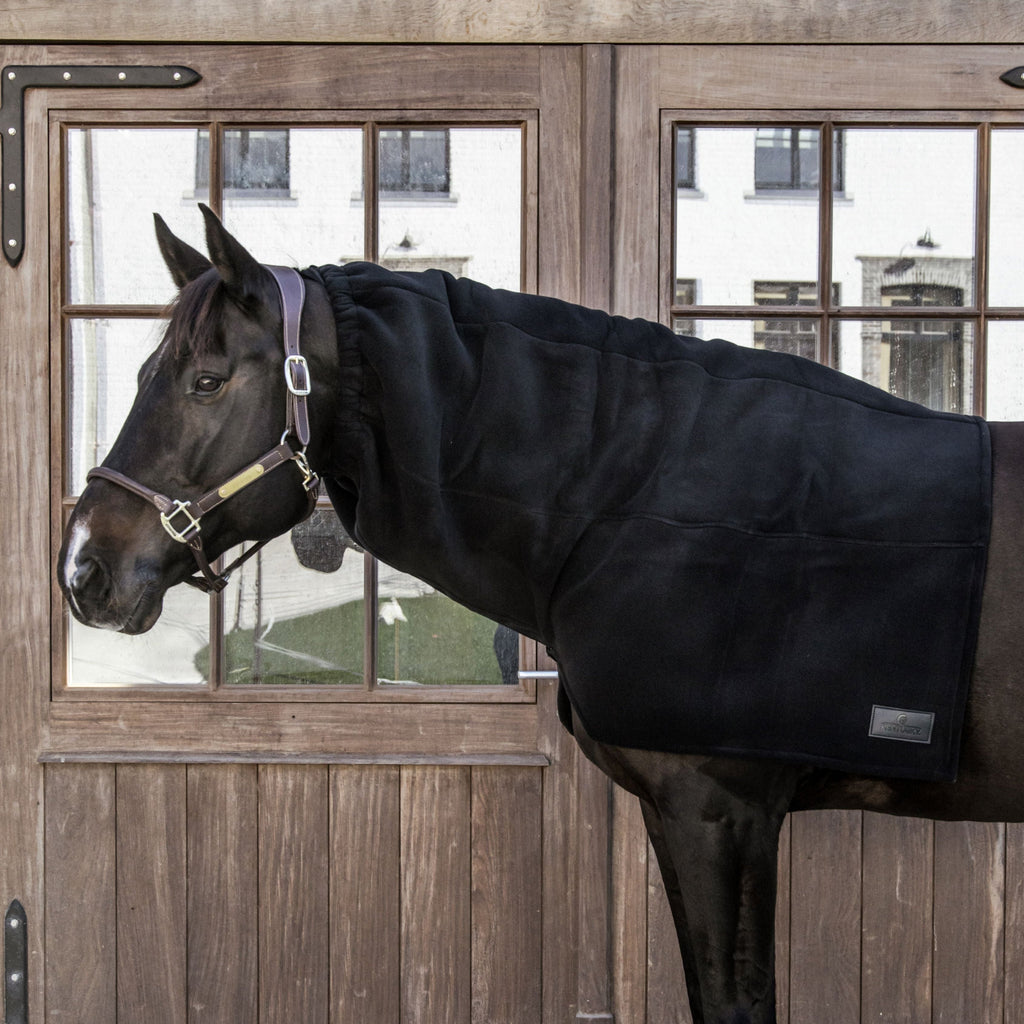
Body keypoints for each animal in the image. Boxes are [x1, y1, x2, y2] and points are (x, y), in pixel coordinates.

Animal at [57, 204, 1024, 1024]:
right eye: (144, 373)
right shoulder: (683, 816)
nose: (84, 570)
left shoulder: (723, 814)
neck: (633, 490)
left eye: (206, 381)